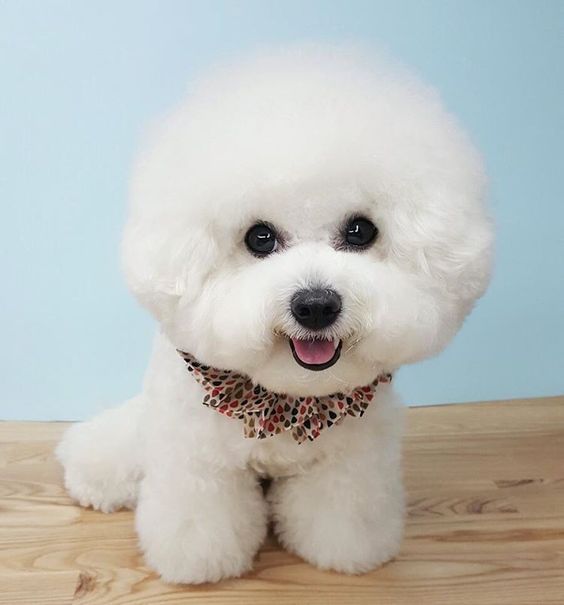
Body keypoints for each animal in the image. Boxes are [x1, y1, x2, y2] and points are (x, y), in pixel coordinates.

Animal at [55, 47, 492, 584]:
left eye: (361, 230)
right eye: (259, 237)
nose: (316, 306)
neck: (283, 400)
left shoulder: (351, 460)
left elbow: (342, 511)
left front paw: (346, 552)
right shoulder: (198, 461)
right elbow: (201, 517)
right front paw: (199, 562)